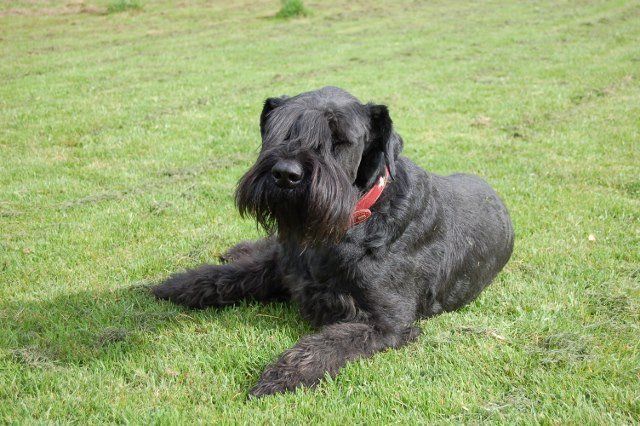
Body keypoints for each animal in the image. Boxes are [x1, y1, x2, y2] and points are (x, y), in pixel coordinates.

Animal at [152, 86, 514, 397]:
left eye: (340, 139)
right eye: (280, 130)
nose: (286, 174)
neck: (354, 219)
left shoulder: (387, 321)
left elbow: (328, 343)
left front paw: (283, 374)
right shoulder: (283, 266)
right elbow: (228, 276)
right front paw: (176, 285)